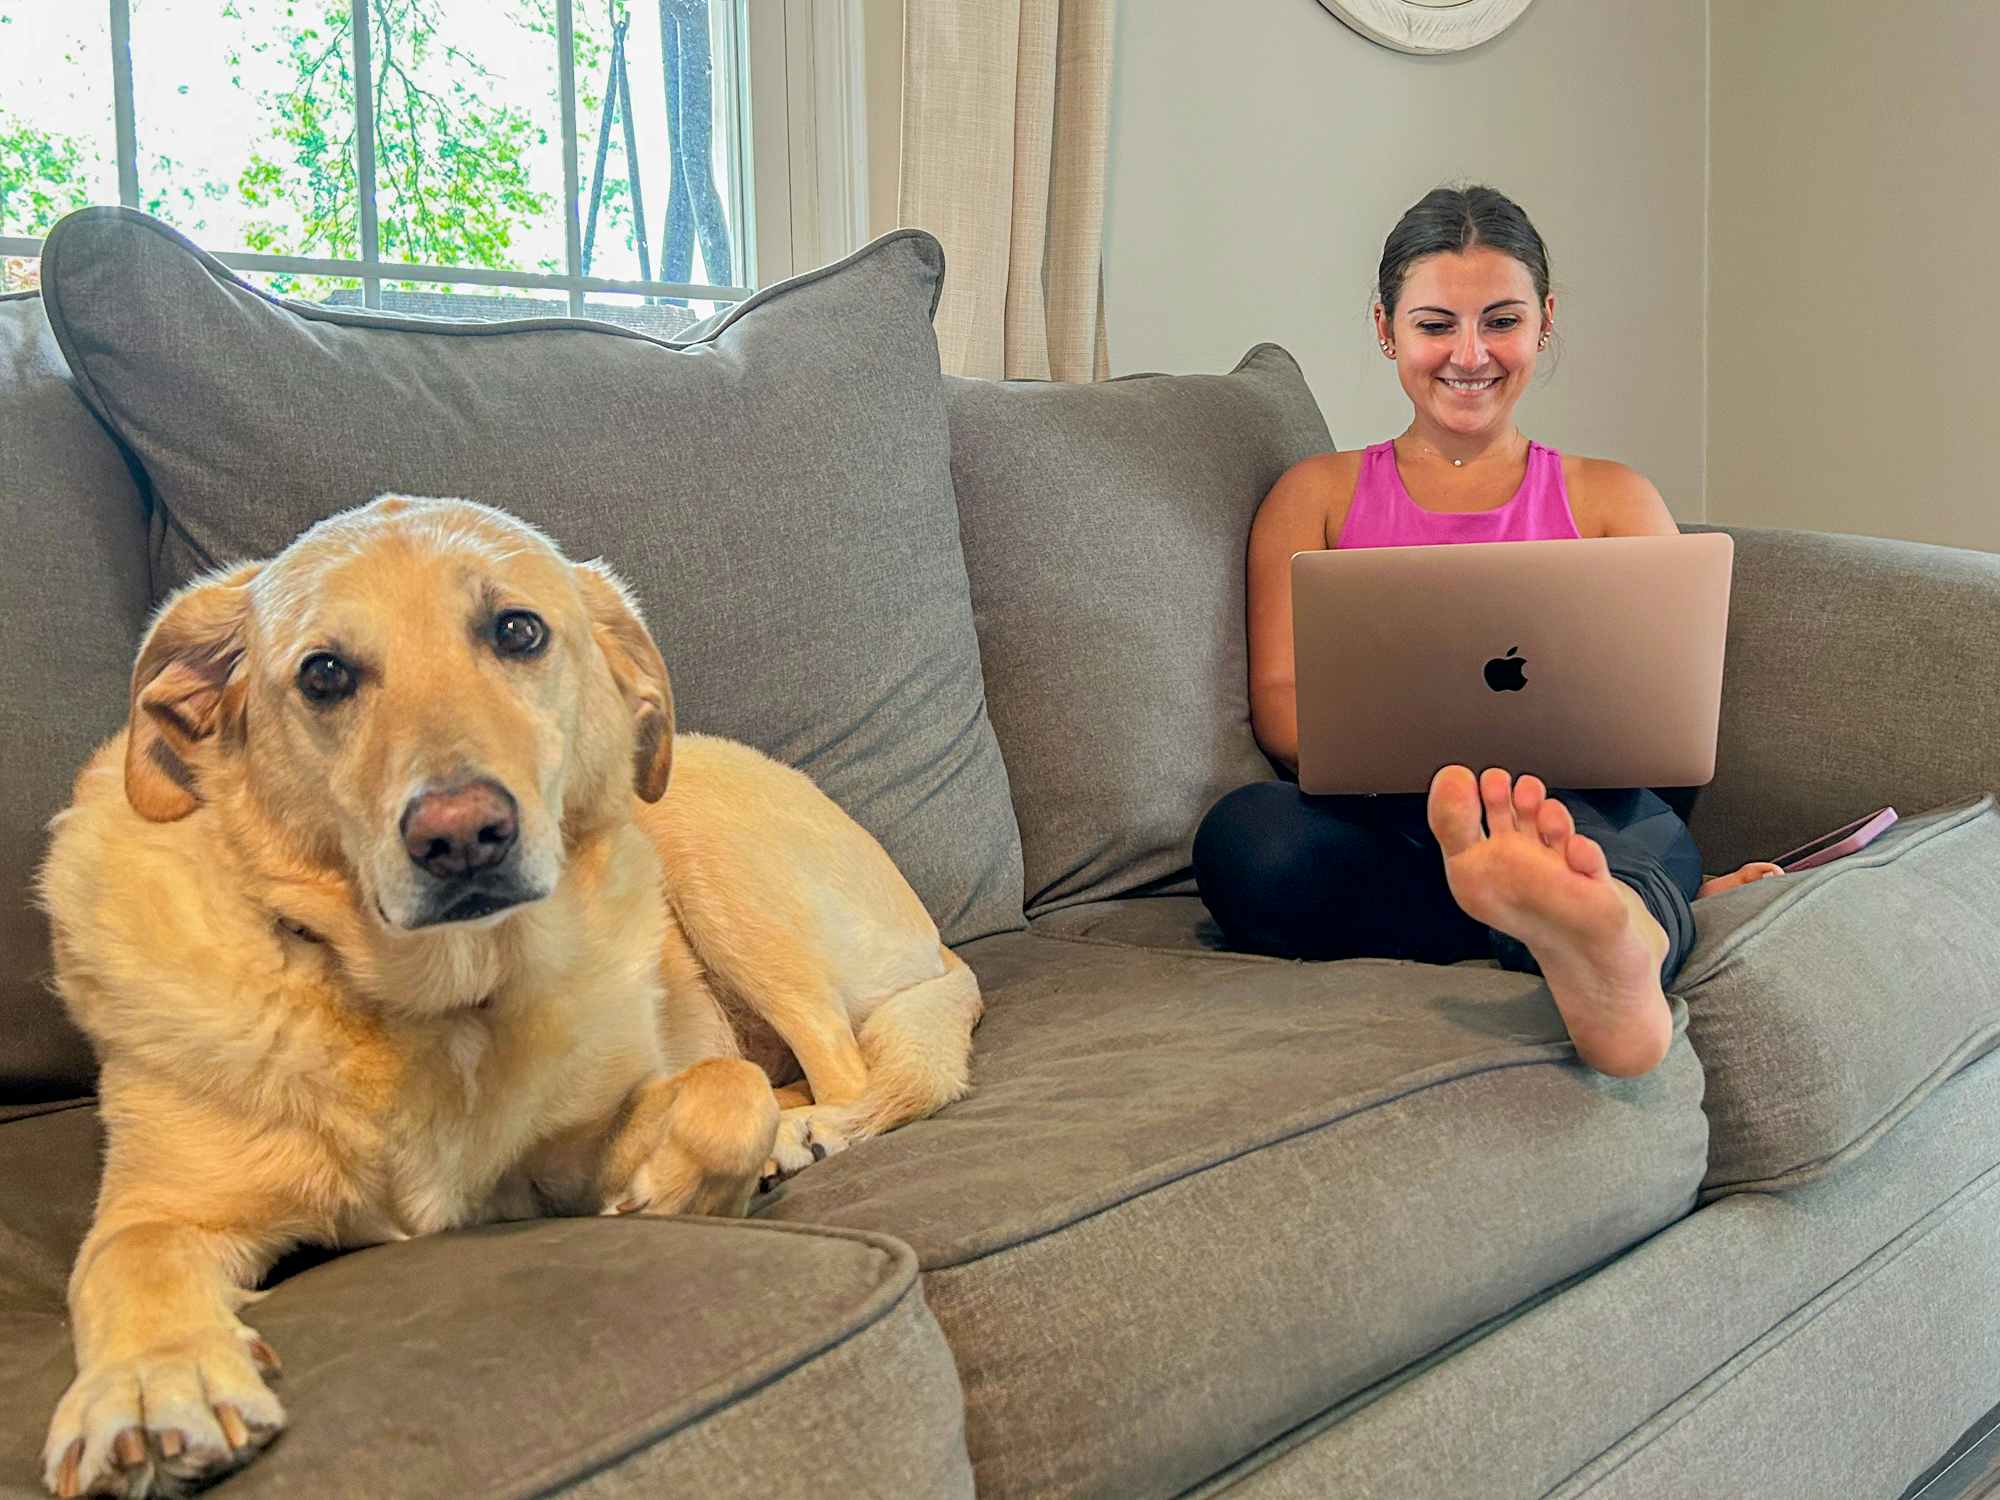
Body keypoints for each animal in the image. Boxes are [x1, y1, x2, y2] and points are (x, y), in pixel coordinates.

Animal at [39, 500, 984, 1496]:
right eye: (324, 673)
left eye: (518, 631)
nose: (461, 836)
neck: (436, 1001)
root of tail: (940, 947)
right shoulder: (161, 1208)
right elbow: (129, 1261)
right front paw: (152, 1384)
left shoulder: (575, 1152)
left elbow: (725, 1098)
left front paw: (681, 1186)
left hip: (704, 850)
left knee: (846, 1070)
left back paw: (808, 1129)